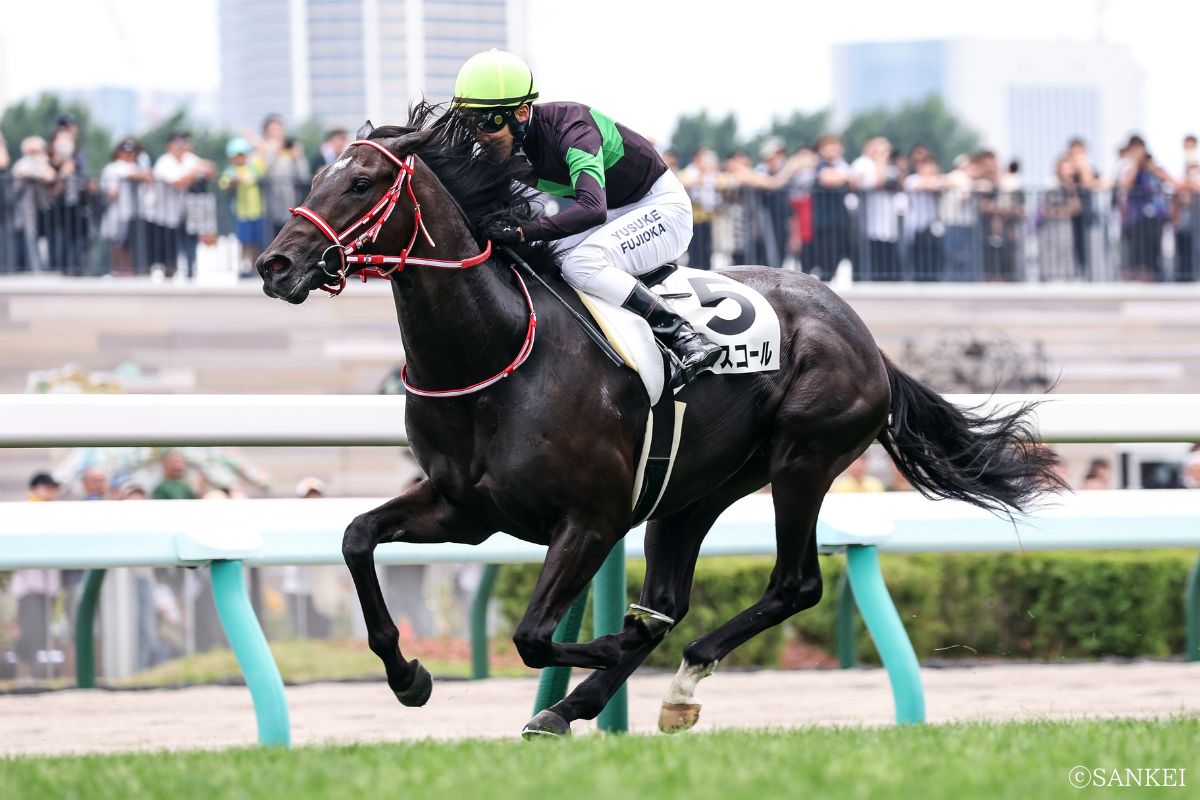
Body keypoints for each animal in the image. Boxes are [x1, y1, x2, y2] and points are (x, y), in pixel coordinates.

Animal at [256, 102, 1061, 738]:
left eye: (361, 183)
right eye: (314, 181)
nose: (275, 266)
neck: (497, 350)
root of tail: (867, 340)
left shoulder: (591, 518)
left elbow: (533, 634)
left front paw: (605, 648)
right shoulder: (466, 508)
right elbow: (357, 538)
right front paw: (408, 675)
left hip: (803, 459)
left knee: (791, 585)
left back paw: (666, 682)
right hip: (695, 490)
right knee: (672, 600)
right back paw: (584, 703)